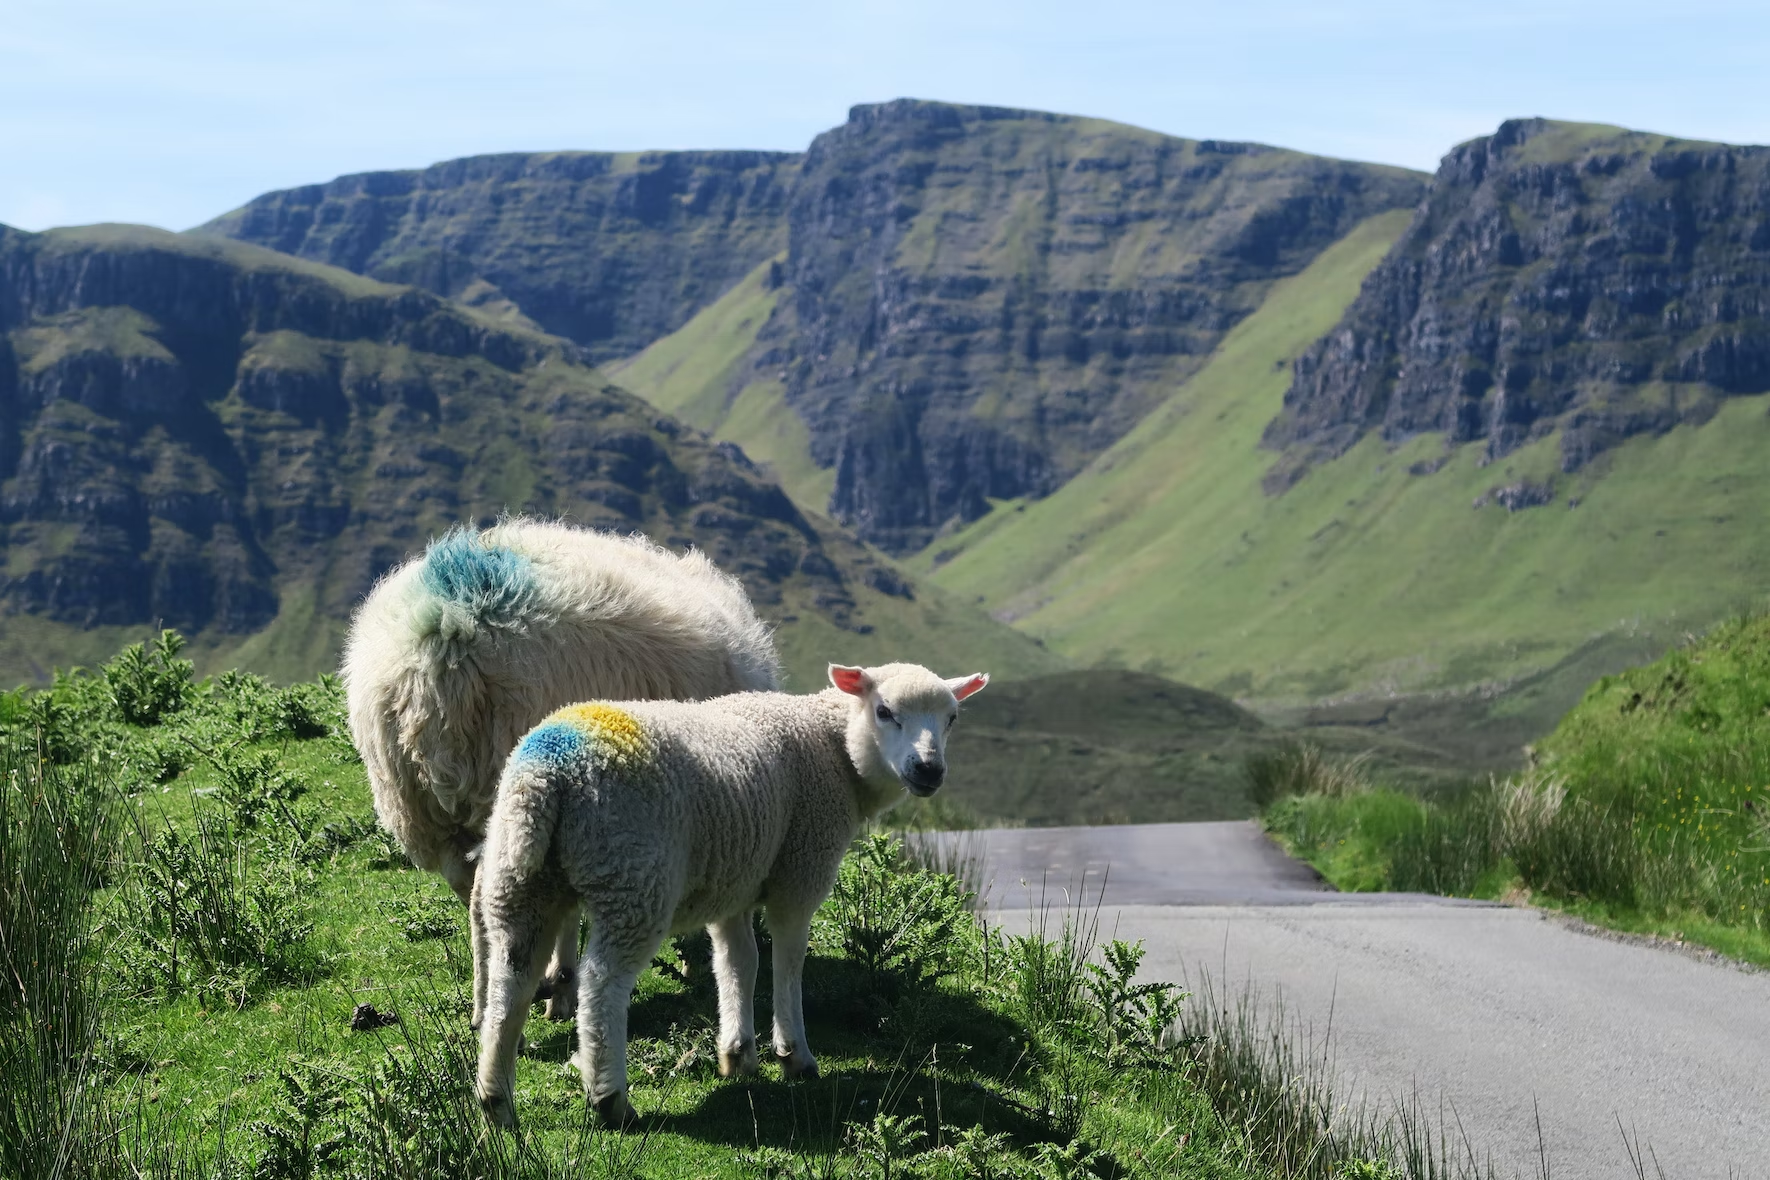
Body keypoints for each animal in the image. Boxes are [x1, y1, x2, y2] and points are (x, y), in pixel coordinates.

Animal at [470, 661, 998, 1132]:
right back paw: (611, 1099)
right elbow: (788, 962)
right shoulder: (799, 873)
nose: (929, 769)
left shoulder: (735, 881)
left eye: (952, 718)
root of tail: (548, 773)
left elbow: (738, 962)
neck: (834, 748)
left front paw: (738, 1053)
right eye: (885, 711)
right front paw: (794, 1055)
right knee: (603, 985)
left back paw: (496, 1100)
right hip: (632, 876)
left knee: (511, 982)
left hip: (520, 879)